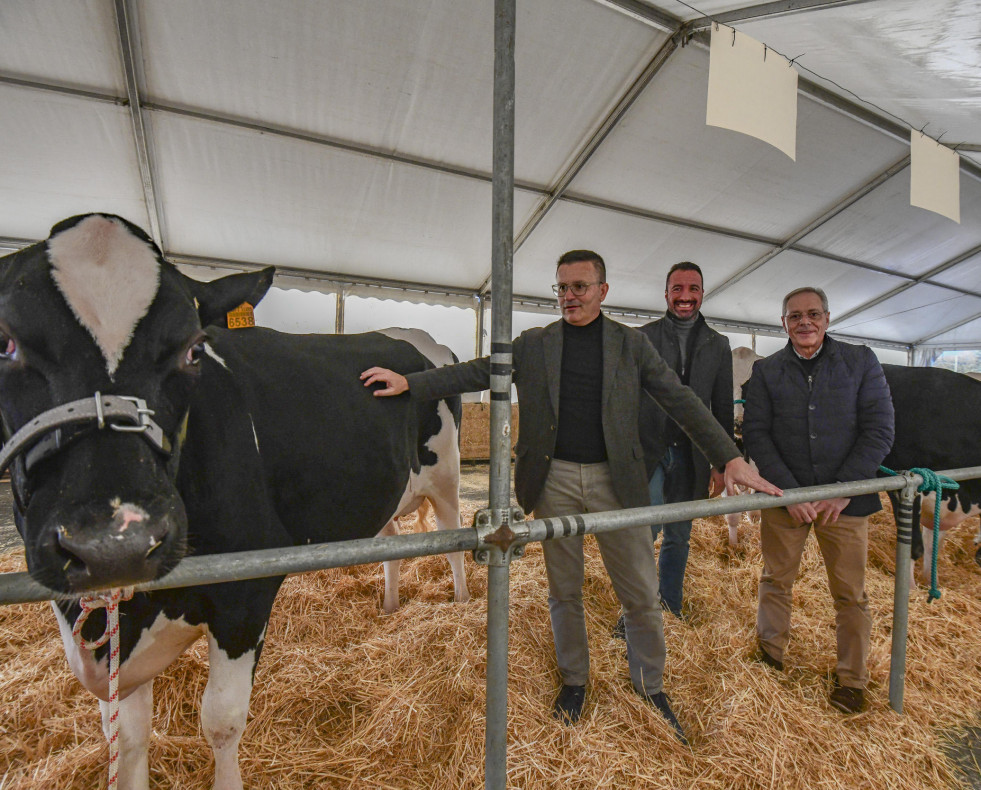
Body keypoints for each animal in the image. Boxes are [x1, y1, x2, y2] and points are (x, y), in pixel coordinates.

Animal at [0, 215, 466, 790]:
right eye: (5, 341)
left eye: (193, 349)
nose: (113, 543)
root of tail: (418, 336)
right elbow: (128, 738)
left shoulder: (246, 591)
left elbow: (221, 721)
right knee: (392, 543)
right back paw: (390, 605)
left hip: (446, 476)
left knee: (453, 543)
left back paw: (463, 604)